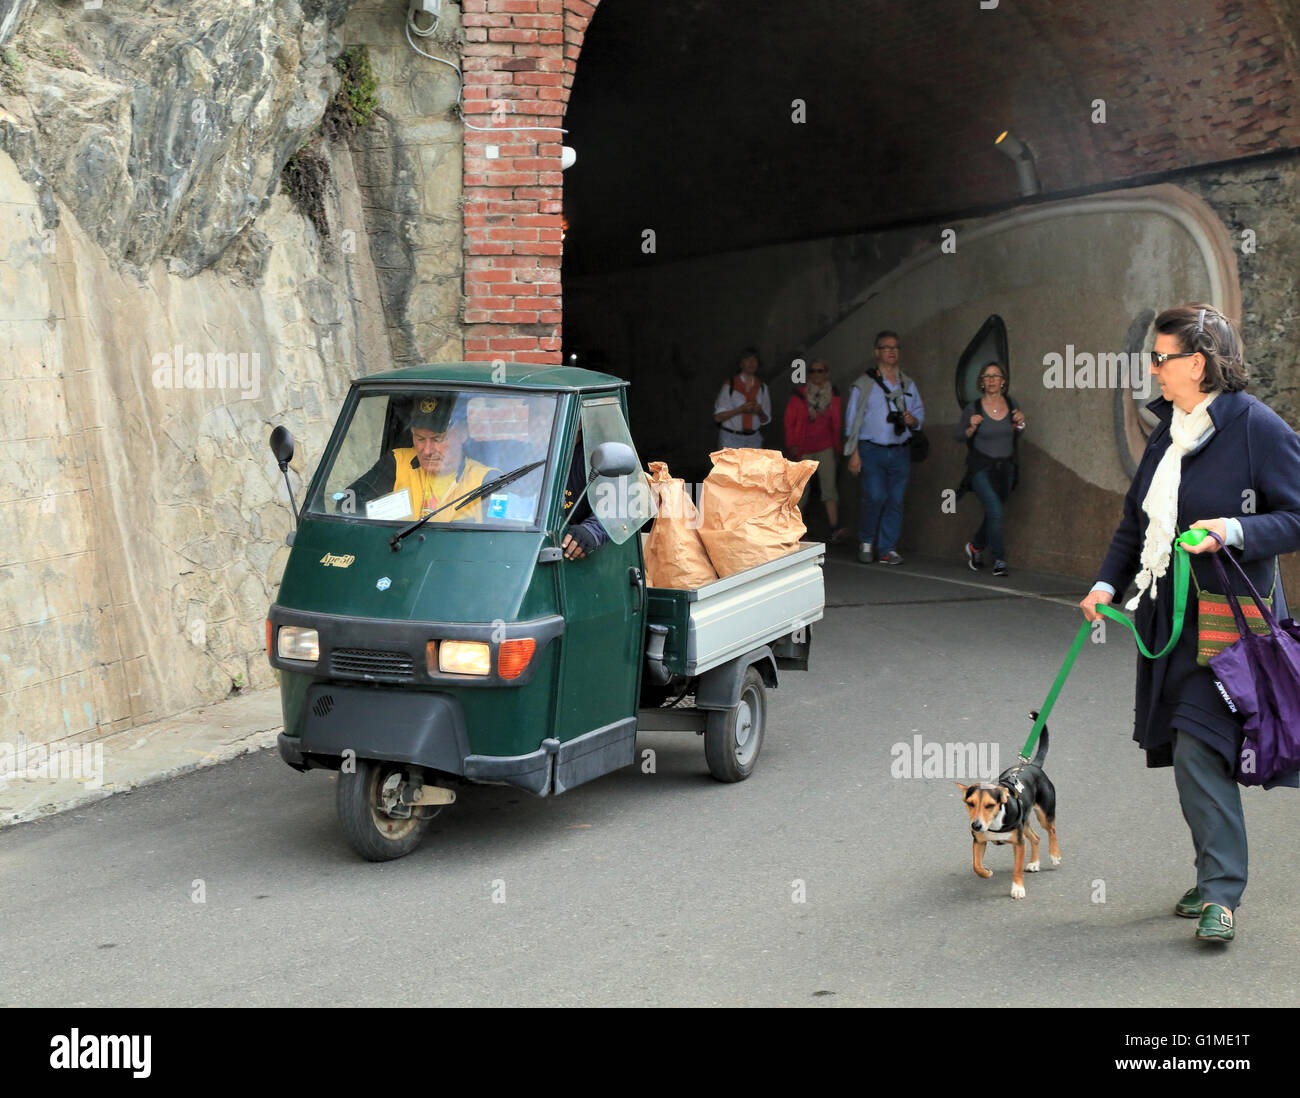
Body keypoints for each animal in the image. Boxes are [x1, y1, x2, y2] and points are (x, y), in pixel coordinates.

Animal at [961, 712, 1060, 899]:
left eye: (990, 805)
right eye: (970, 803)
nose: (976, 825)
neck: (994, 823)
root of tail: (1032, 765)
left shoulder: (1019, 844)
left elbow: (1017, 869)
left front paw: (1018, 889)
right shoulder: (979, 841)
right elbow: (976, 865)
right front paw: (986, 872)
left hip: (1044, 813)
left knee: (1051, 830)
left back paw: (1055, 855)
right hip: (1024, 822)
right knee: (1036, 838)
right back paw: (1034, 863)